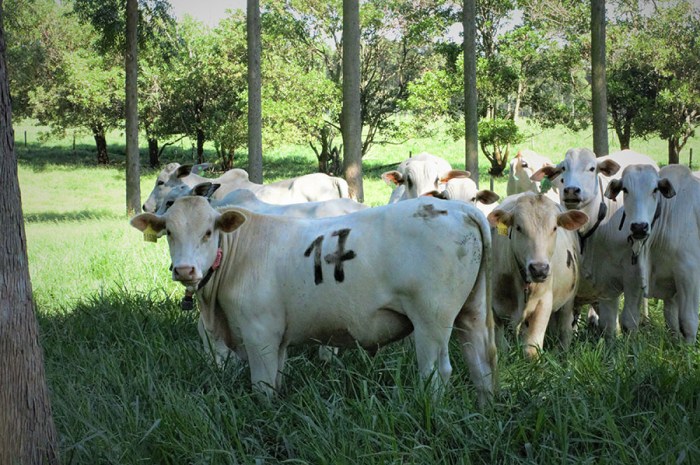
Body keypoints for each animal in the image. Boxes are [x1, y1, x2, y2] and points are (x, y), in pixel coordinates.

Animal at [490, 192, 588, 356]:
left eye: (554, 227)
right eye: (518, 227)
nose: (539, 269)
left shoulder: (543, 303)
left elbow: (531, 349)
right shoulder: (493, 307)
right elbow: (500, 346)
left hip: (569, 299)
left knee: (565, 329)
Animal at [600, 164, 700, 340]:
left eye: (655, 190)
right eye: (625, 189)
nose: (639, 227)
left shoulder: (690, 274)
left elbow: (688, 322)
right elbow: (672, 320)